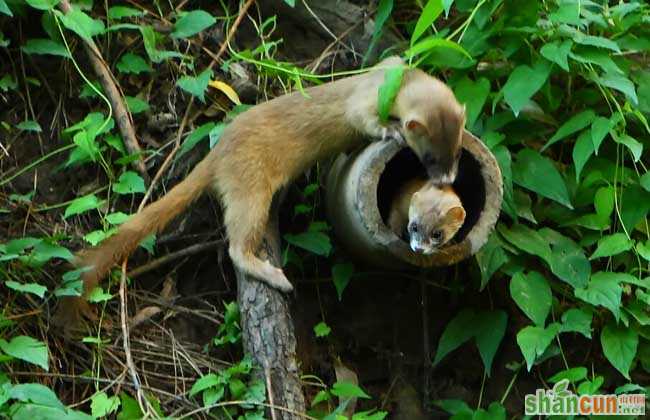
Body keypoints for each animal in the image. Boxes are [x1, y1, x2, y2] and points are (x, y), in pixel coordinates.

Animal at [58, 56, 464, 322]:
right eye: (429, 158)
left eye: (458, 150)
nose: (446, 180)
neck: (390, 80)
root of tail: (219, 150)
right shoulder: (360, 100)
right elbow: (362, 118)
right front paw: (389, 129)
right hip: (250, 188)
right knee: (237, 245)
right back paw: (275, 276)